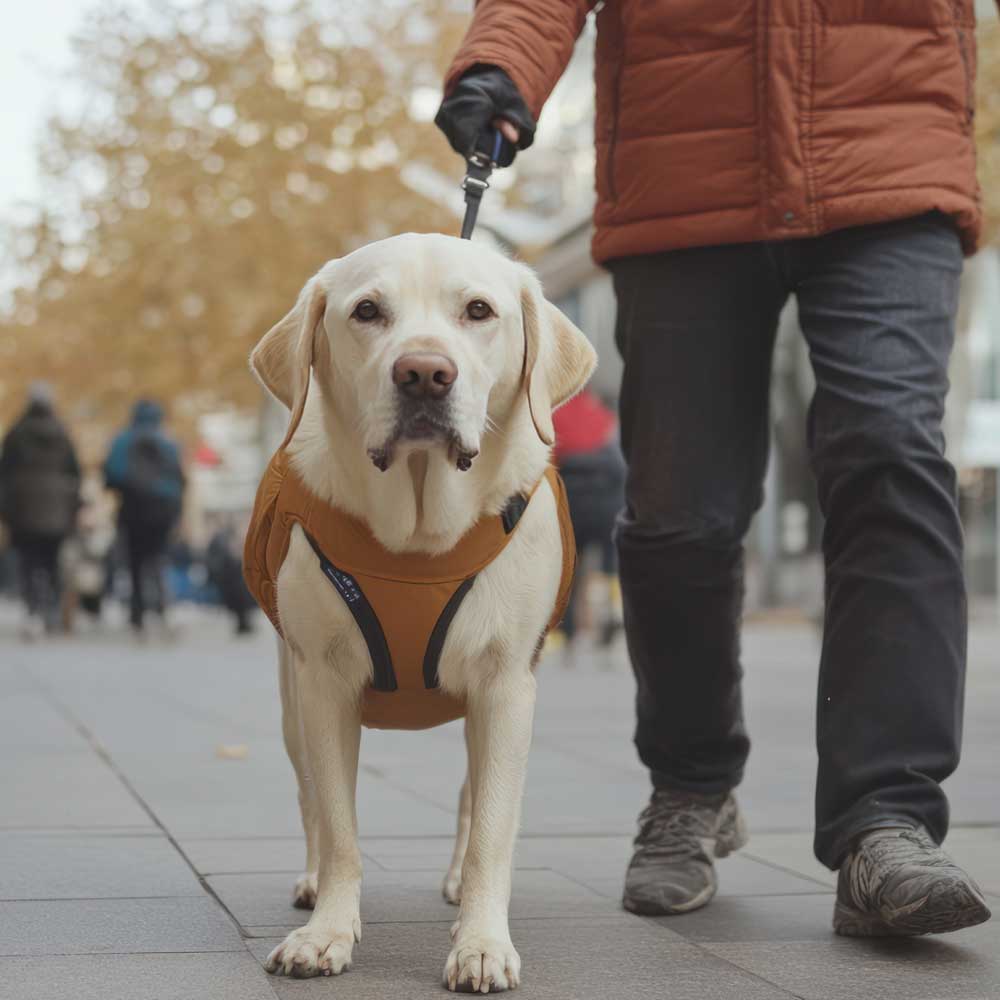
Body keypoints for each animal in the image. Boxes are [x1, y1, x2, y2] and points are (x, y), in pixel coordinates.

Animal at [248, 234, 592, 992]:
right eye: (367, 311)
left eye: (479, 311)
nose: (425, 374)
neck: (416, 535)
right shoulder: (324, 685)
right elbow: (339, 827)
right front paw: (327, 935)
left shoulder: (506, 686)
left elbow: (493, 826)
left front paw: (483, 943)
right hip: (288, 701)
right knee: (309, 796)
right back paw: (312, 882)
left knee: (470, 796)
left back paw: (461, 888)